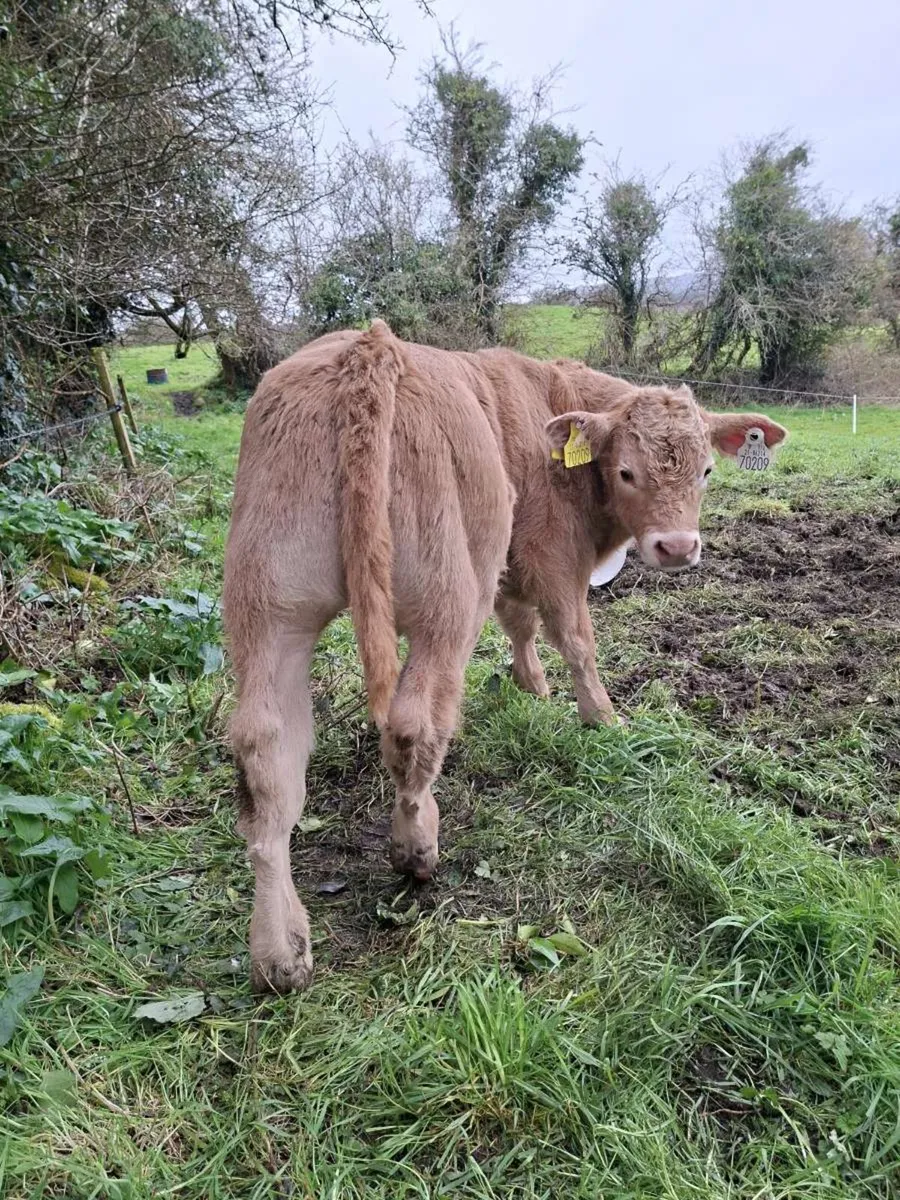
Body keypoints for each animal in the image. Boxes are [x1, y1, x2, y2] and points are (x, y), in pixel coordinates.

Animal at [223, 321, 787, 992]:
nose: (676, 547)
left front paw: (530, 687)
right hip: (446, 603)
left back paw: (279, 949)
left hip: (270, 611)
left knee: (266, 758)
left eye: (704, 470)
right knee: (414, 724)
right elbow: (574, 637)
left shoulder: (513, 568)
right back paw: (417, 847)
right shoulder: (552, 553)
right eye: (627, 472)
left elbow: (520, 623)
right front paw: (601, 717)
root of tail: (370, 349)